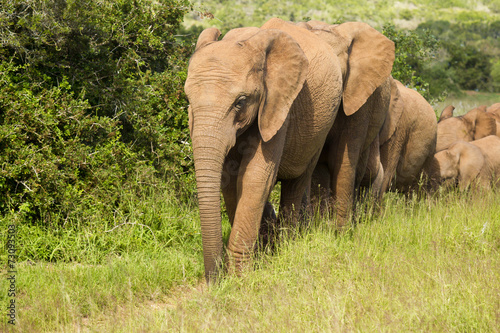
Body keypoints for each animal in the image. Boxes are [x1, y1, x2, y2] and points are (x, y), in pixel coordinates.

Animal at [184, 17, 394, 280]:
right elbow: (230, 179)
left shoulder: (281, 104)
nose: (213, 279)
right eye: (188, 99)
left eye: (240, 101)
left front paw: (240, 277)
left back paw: (290, 244)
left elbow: (255, 177)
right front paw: (248, 267)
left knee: (301, 179)